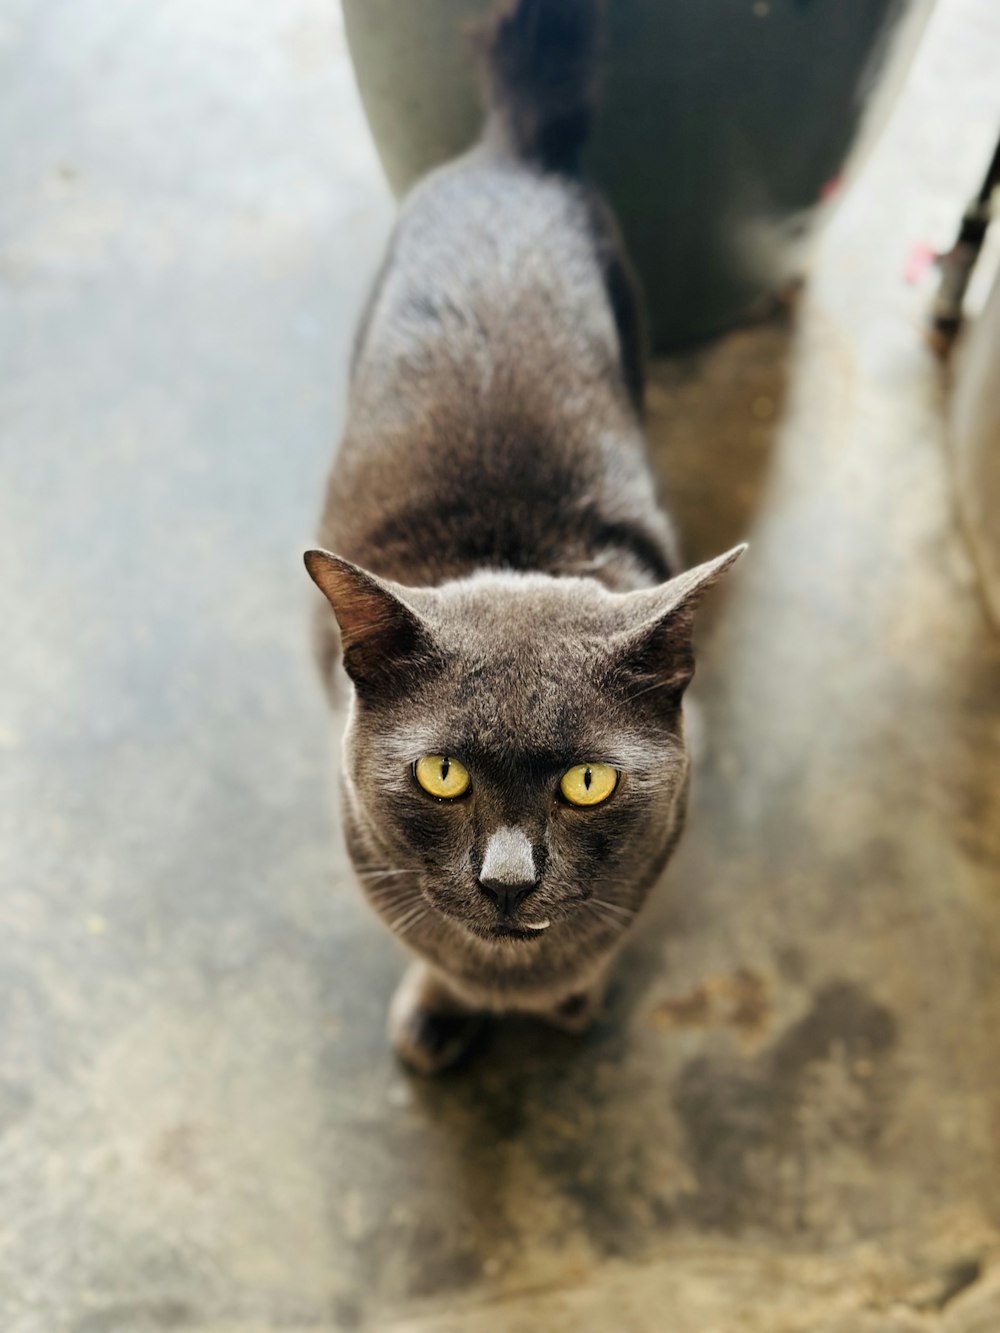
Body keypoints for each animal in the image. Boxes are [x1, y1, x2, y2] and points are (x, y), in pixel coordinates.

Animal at [305, 0, 746, 1066]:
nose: (508, 878)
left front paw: (570, 997)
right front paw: (438, 1008)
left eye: (588, 782)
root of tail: (515, 152)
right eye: (441, 773)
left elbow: (601, 934)